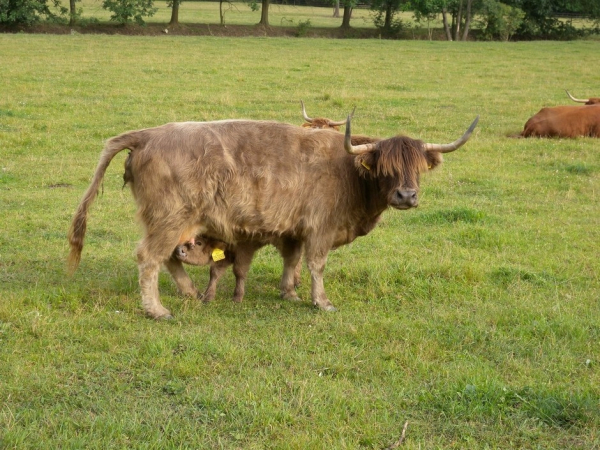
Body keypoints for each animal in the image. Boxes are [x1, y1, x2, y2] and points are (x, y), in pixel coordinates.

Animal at [69, 116, 478, 320]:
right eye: (385, 167)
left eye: (417, 168)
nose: (406, 195)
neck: (349, 173)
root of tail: (149, 134)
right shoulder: (320, 227)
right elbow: (316, 264)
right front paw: (321, 302)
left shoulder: (295, 229)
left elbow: (292, 261)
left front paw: (289, 292)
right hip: (169, 216)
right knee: (149, 258)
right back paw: (157, 310)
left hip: (173, 220)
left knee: (168, 257)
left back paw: (190, 294)